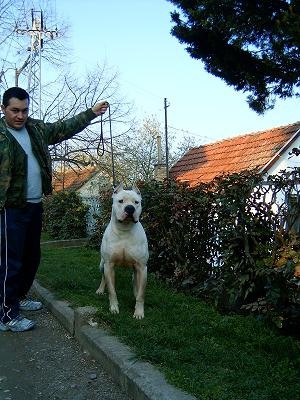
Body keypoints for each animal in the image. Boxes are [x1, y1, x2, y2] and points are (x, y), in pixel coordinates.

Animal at [96, 184, 149, 318]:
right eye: (120, 201)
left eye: (136, 202)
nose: (130, 208)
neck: (124, 229)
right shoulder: (109, 265)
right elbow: (111, 290)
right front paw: (114, 308)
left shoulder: (142, 267)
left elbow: (141, 294)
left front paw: (139, 312)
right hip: (102, 265)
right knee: (103, 278)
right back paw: (100, 290)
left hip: (136, 270)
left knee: (135, 281)